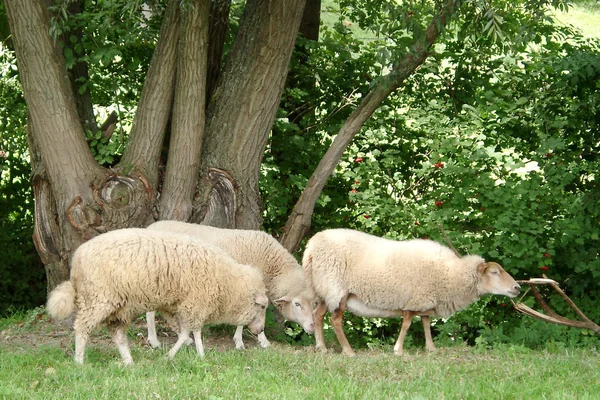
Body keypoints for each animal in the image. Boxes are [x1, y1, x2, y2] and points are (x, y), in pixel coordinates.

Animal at [46, 227, 270, 364]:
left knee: (117, 334)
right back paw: (79, 361)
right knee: (82, 328)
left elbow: (184, 333)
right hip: (98, 299)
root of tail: (77, 259)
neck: (228, 281)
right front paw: (201, 354)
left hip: (120, 306)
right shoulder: (196, 303)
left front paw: (170, 356)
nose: (260, 330)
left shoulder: (179, 306)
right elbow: (195, 332)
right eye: (262, 306)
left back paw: (128, 362)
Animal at [146, 222, 316, 350]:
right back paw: (154, 341)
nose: (312, 326)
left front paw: (262, 340)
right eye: (297, 304)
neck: (268, 263)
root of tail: (150, 226)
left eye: (314, 304)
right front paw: (240, 342)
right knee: (151, 311)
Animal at [304, 228, 520, 356]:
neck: (450, 273)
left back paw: (321, 347)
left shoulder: (425, 299)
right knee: (335, 320)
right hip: (336, 288)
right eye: (494, 272)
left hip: (324, 290)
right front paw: (398, 350)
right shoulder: (414, 299)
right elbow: (407, 324)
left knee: (317, 315)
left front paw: (431, 348)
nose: (517, 287)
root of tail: (311, 246)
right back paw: (348, 351)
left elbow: (426, 323)